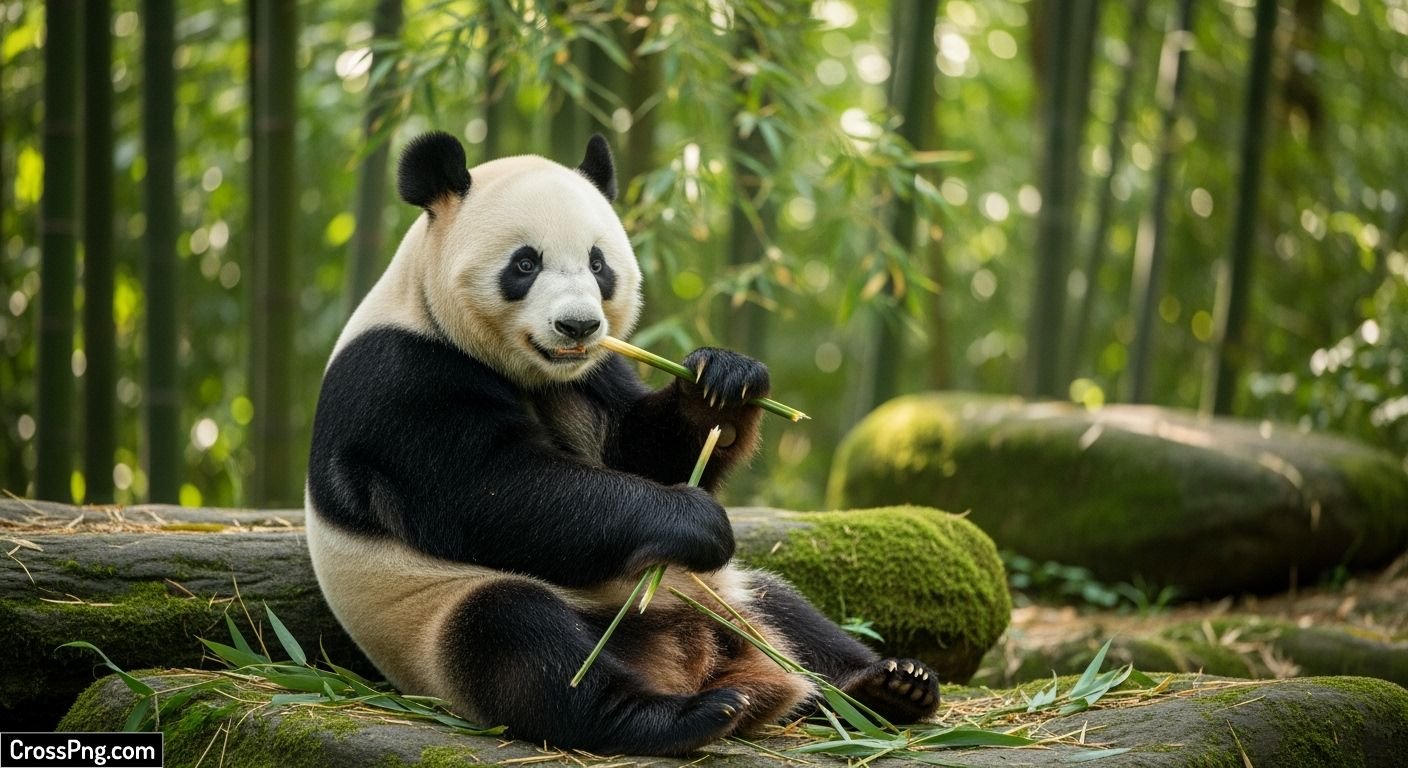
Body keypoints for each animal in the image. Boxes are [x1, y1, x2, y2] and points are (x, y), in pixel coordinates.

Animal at [304, 131, 940, 756]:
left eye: (598, 263)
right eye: (525, 263)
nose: (579, 326)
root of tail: (695, 654)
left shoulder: (592, 375)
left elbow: (640, 451)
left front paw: (722, 384)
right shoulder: (402, 379)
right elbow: (490, 491)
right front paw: (694, 519)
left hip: (725, 591)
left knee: (791, 609)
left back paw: (888, 685)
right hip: (437, 615)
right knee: (523, 644)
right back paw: (682, 716)